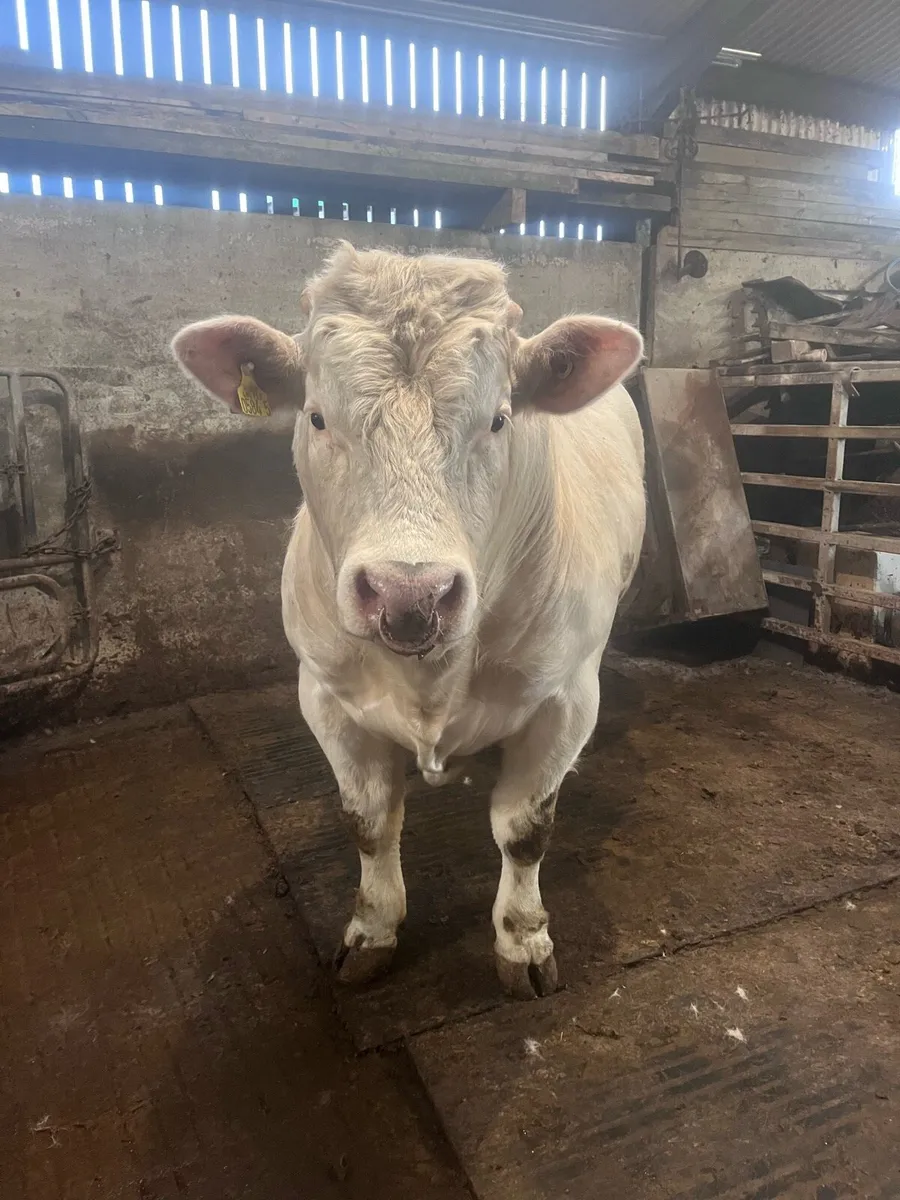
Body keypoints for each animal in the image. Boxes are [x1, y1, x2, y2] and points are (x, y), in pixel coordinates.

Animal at [172, 242, 646, 1000]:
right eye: (316, 417)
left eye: (499, 419)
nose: (409, 592)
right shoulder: (324, 694)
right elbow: (368, 822)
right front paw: (372, 929)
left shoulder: (567, 697)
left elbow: (525, 830)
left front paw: (522, 941)